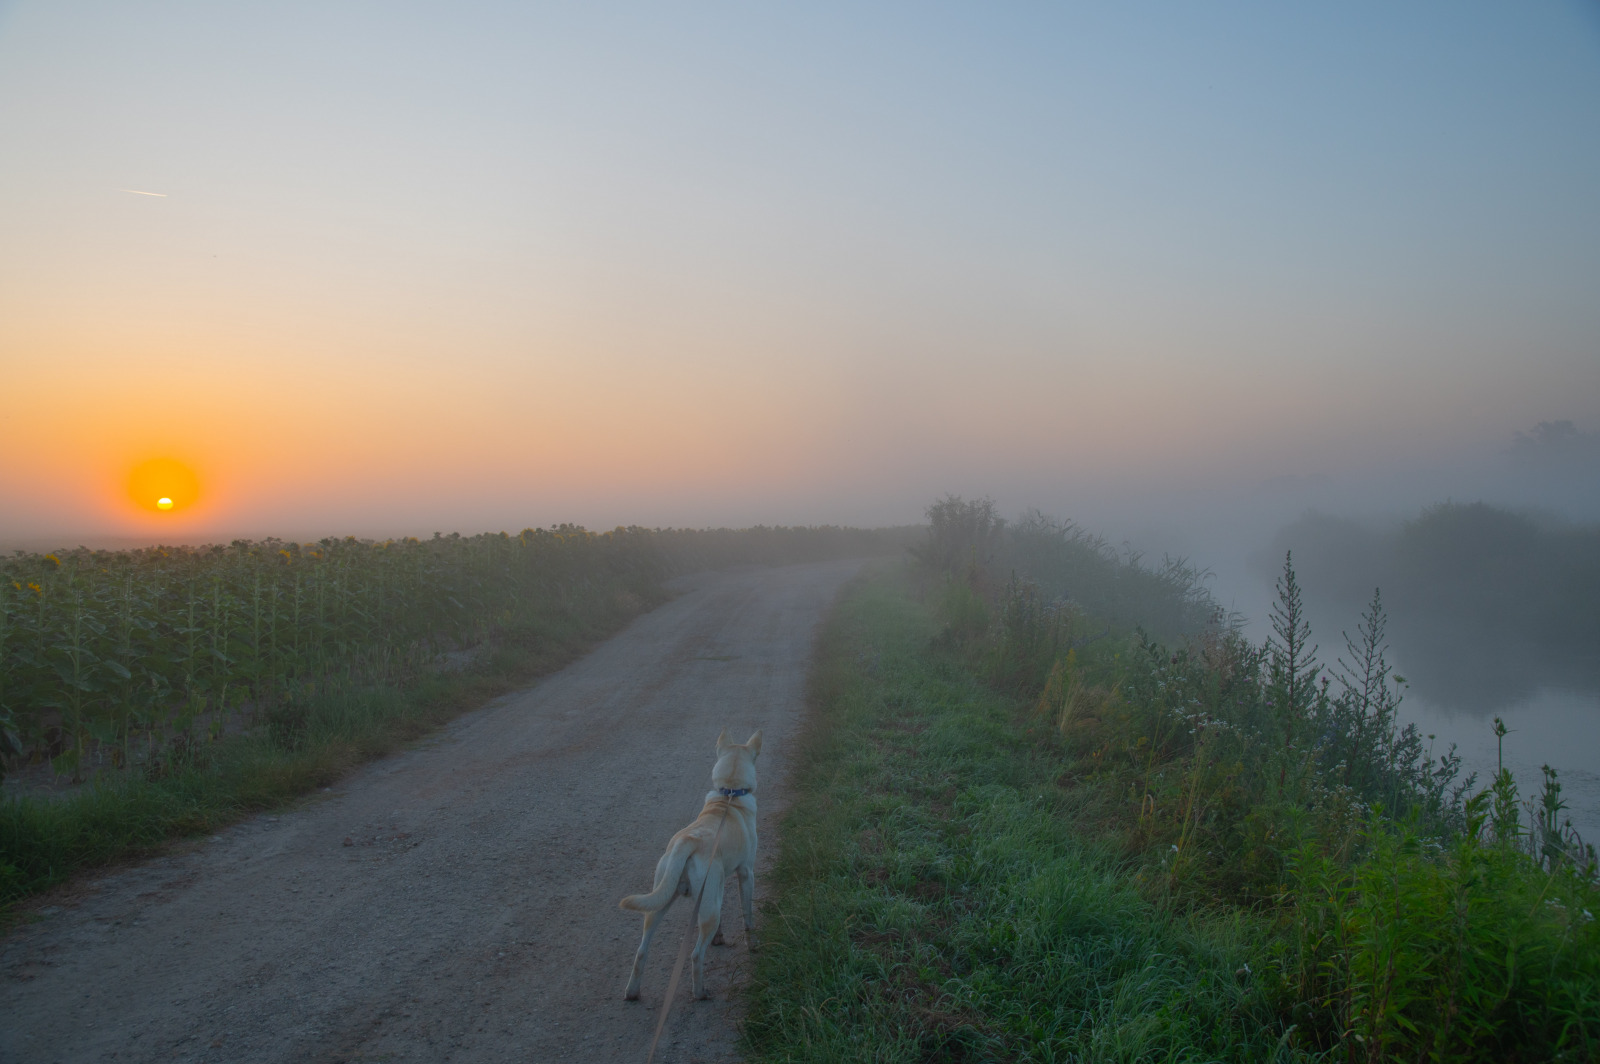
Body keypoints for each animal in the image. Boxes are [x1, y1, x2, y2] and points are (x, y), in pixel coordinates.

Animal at [617, 726, 761, 998]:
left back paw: (632, 992)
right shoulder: (746, 874)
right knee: (695, 955)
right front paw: (752, 944)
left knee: (641, 951)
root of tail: (687, 842)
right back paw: (700, 992)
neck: (729, 794)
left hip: (660, 901)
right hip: (707, 908)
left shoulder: (712, 892)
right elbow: (747, 915)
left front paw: (719, 938)